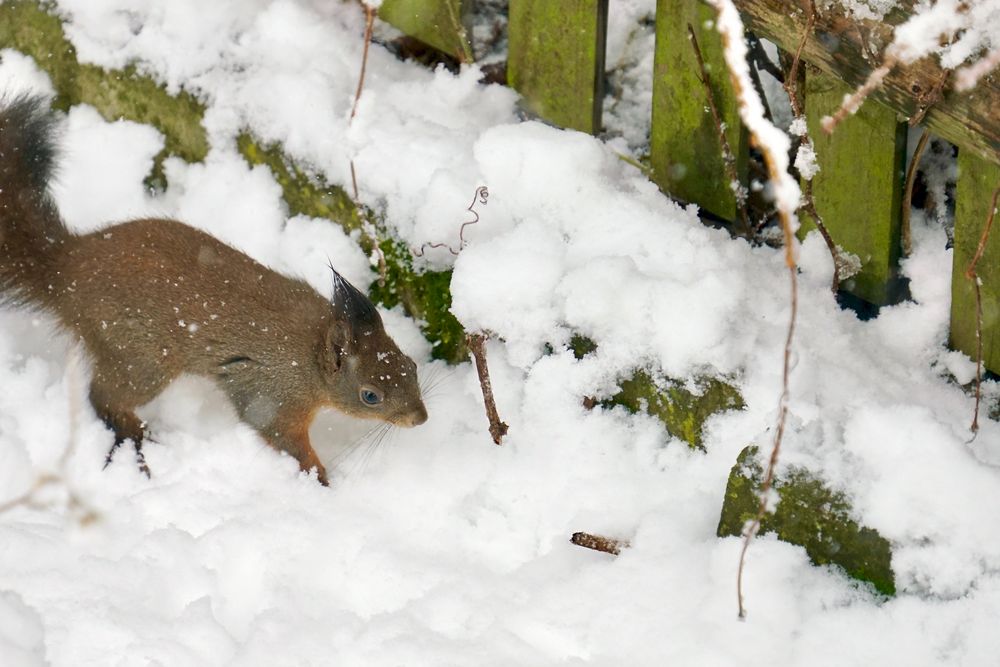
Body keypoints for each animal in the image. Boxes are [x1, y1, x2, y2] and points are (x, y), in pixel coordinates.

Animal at [0, 95, 426, 486]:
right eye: (370, 395)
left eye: (410, 365)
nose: (420, 418)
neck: (312, 346)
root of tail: (65, 268)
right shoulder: (271, 393)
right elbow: (280, 433)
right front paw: (318, 478)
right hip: (141, 358)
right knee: (103, 396)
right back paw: (135, 436)